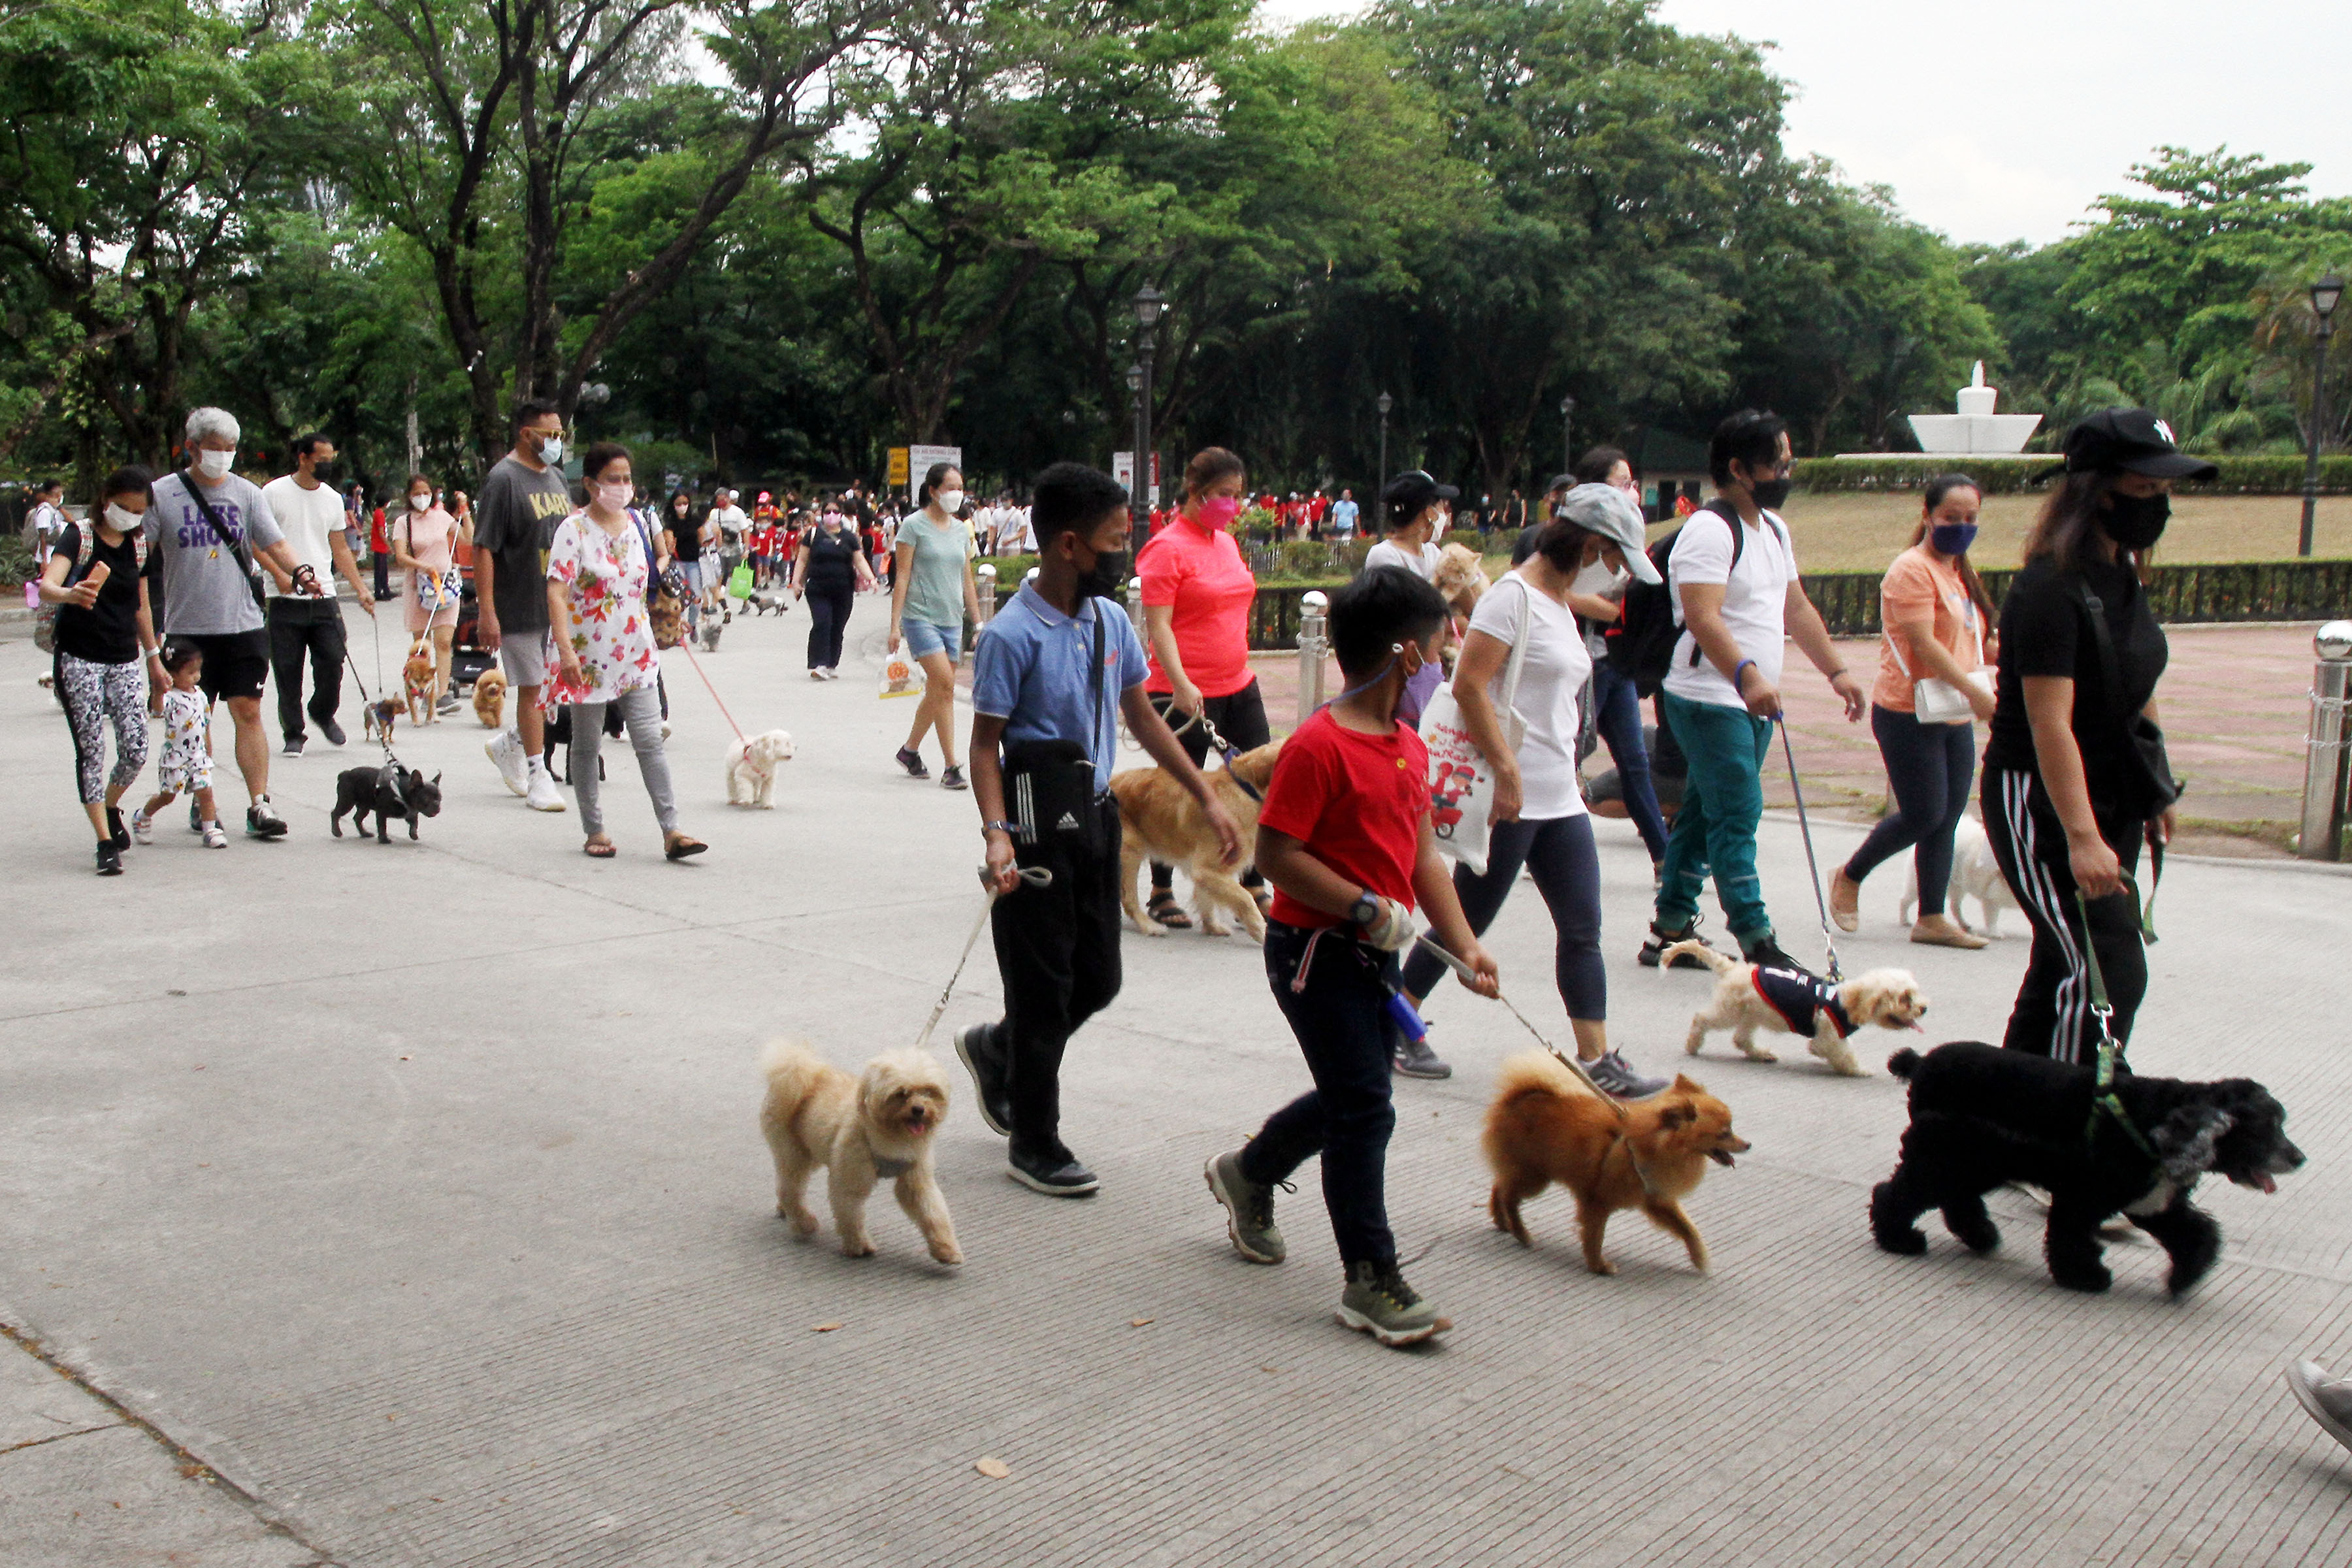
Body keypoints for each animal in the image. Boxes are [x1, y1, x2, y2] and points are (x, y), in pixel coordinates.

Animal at [762, 1034, 964, 1269]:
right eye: (901, 1094)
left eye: (929, 1091)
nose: (919, 1109)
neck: (892, 1136)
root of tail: (804, 1073)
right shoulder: (851, 1181)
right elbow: (851, 1215)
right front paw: (858, 1245)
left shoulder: (916, 1181)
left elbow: (933, 1215)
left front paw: (946, 1250)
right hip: (794, 1155)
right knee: (789, 1189)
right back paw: (803, 1223)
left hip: (811, 1154)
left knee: (785, 1187)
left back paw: (786, 1211)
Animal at [1105, 738, 1279, 940]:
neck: (1247, 788)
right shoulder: (1206, 869)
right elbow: (1244, 897)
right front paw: (1260, 930)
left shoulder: (1209, 872)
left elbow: (1207, 900)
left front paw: (1213, 926)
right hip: (1130, 851)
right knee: (1128, 898)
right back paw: (1149, 926)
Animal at [1486, 1053, 1750, 1279]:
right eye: (1724, 1133)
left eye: (1731, 1129)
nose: (1748, 1144)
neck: (1645, 1145)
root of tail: (1520, 1096)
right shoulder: (1598, 1201)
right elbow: (1595, 1237)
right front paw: (1599, 1266)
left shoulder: (1656, 1198)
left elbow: (1688, 1228)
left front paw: (1700, 1258)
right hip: (1535, 1177)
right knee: (1509, 1196)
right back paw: (1520, 1232)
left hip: (1528, 1172)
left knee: (1500, 1186)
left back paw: (1502, 1222)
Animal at [1656, 945, 1929, 1081]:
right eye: (1905, 998)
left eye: (1915, 993)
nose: (1924, 1008)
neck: (1844, 999)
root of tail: (1733, 969)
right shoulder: (1831, 1036)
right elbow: (1843, 1054)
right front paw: (1857, 1070)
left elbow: (1823, 1050)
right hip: (1729, 1011)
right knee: (1701, 1018)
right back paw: (1693, 1044)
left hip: (1751, 1013)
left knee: (1741, 1039)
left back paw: (1761, 1054)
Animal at [1891, 818, 2023, 940]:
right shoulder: (1991, 897)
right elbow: (1992, 917)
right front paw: (1994, 933)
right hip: (1918, 885)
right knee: (1905, 900)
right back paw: (1905, 920)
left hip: (1959, 886)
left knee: (1955, 906)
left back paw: (1964, 925)